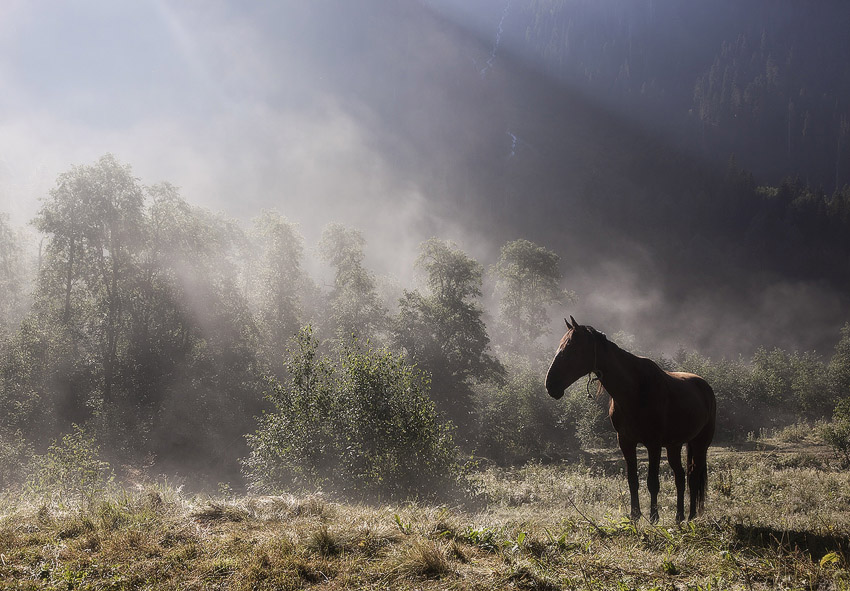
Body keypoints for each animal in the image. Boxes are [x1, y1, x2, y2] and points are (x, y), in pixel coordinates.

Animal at [544, 316, 716, 524]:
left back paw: (691, 516)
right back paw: (679, 516)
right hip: (673, 446)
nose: (550, 385)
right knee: (680, 476)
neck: (634, 390)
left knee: (693, 476)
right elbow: (632, 480)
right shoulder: (626, 441)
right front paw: (634, 516)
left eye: (572, 348)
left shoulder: (653, 444)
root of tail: (704, 386)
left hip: (700, 443)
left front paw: (653, 517)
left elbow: (652, 482)